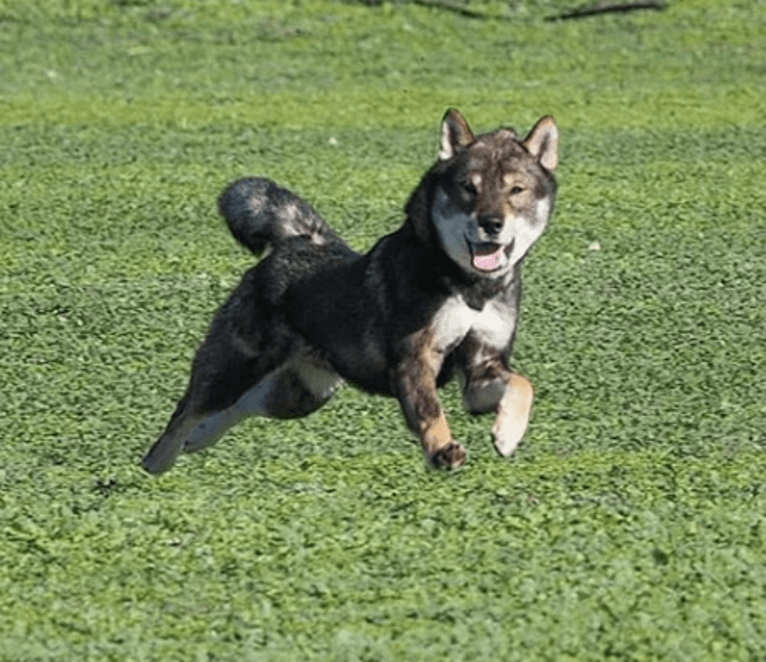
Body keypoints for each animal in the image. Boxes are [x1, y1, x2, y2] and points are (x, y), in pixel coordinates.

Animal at [142, 109, 560, 474]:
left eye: (516, 190)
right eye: (468, 188)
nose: (491, 223)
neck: (469, 287)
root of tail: (294, 242)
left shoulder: (481, 366)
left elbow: (522, 385)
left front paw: (507, 435)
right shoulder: (415, 357)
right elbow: (429, 411)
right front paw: (442, 450)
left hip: (301, 395)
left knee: (239, 407)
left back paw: (196, 441)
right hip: (236, 366)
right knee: (187, 411)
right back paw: (155, 463)